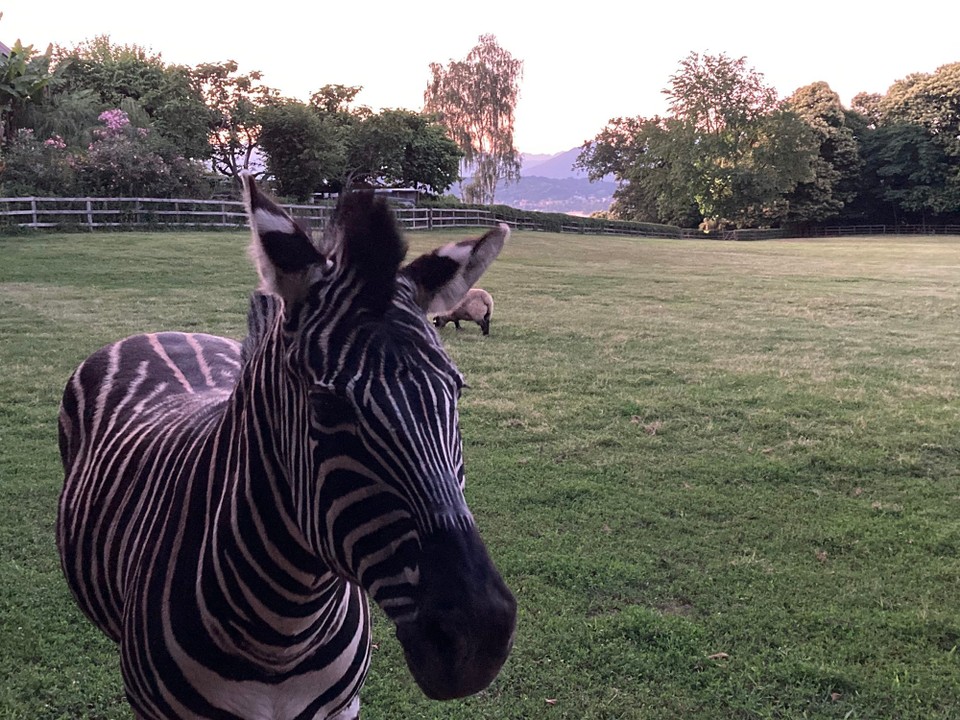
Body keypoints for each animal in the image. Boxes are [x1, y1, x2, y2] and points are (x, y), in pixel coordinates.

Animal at [56, 175, 516, 720]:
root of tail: (161, 330)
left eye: (457, 391)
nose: (479, 642)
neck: (286, 629)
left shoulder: (342, 707)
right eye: (326, 407)